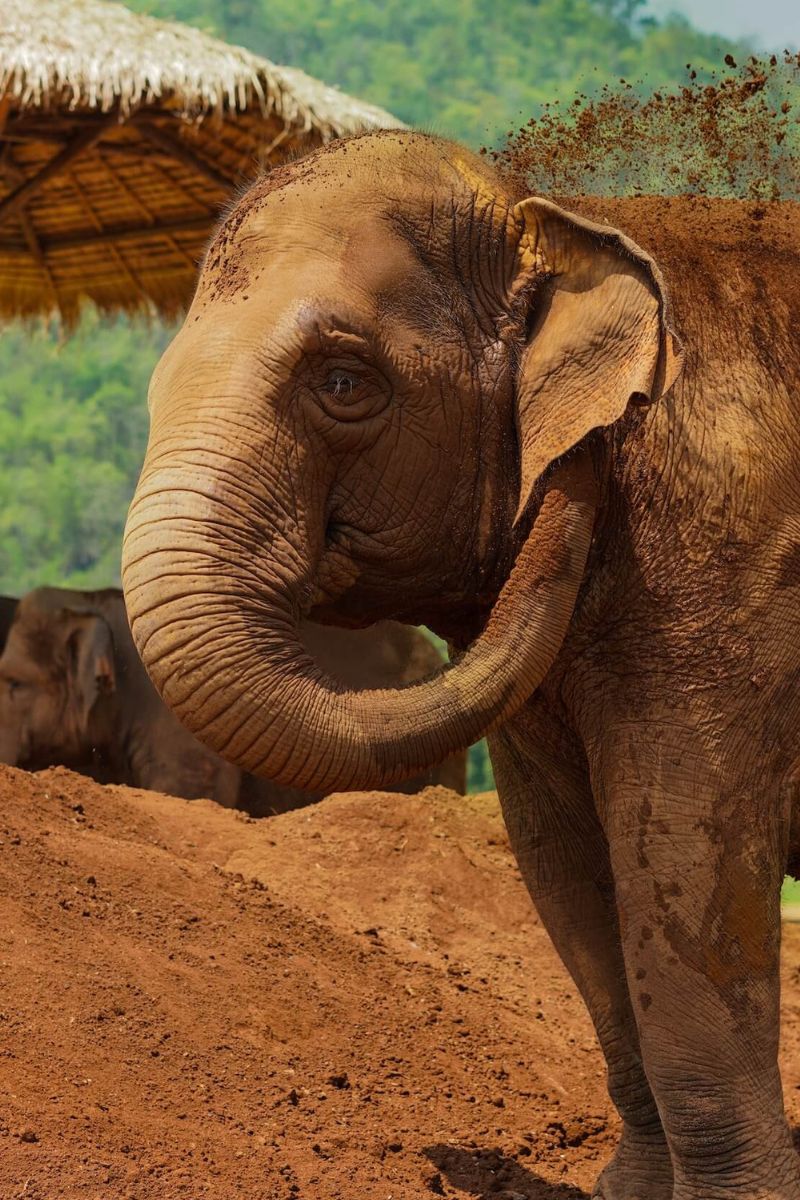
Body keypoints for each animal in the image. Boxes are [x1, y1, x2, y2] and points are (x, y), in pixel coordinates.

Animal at [122, 128, 800, 1197]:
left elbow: (686, 859)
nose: (572, 468)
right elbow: (567, 870)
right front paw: (626, 1193)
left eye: (343, 382)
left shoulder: (729, 566)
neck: (559, 220)